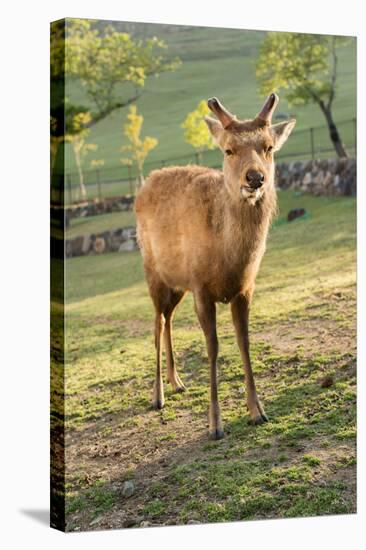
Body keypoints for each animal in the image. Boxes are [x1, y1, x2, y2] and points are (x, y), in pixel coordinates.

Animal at [136, 94, 296, 440]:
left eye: (269, 147)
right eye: (228, 150)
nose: (255, 178)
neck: (229, 261)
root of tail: (146, 183)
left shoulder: (245, 288)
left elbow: (244, 342)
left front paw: (258, 411)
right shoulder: (201, 287)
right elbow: (213, 348)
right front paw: (215, 425)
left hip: (177, 283)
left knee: (168, 319)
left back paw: (177, 382)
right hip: (153, 272)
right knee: (156, 323)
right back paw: (158, 396)